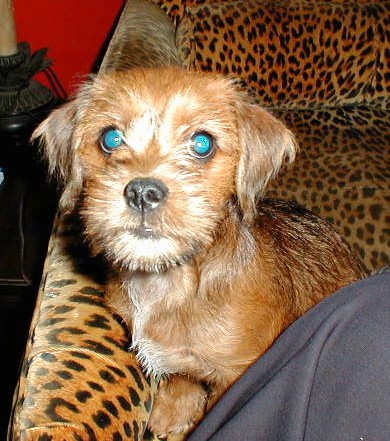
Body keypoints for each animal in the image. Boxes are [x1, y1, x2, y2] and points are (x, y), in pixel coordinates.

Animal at [32, 65, 366, 436]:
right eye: (111, 138)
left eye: (202, 143)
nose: (142, 192)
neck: (169, 282)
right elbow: (180, 373)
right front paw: (172, 410)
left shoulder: (236, 374)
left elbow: (212, 410)